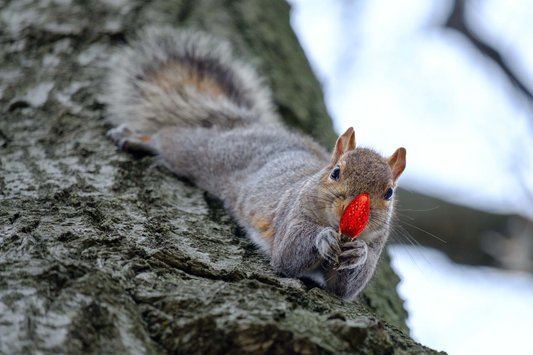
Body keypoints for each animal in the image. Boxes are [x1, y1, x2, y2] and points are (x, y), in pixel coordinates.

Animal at [107, 26, 408, 302]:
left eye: (389, 193)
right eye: (335, 173)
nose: (349, 210)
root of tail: (248, 127)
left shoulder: (374, 245)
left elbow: (344, 289)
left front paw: (359, 253)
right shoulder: (291, 213)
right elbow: (288, 253)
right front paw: (322, 237)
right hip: (201, 152)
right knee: (170, 138)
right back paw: (139, 139)